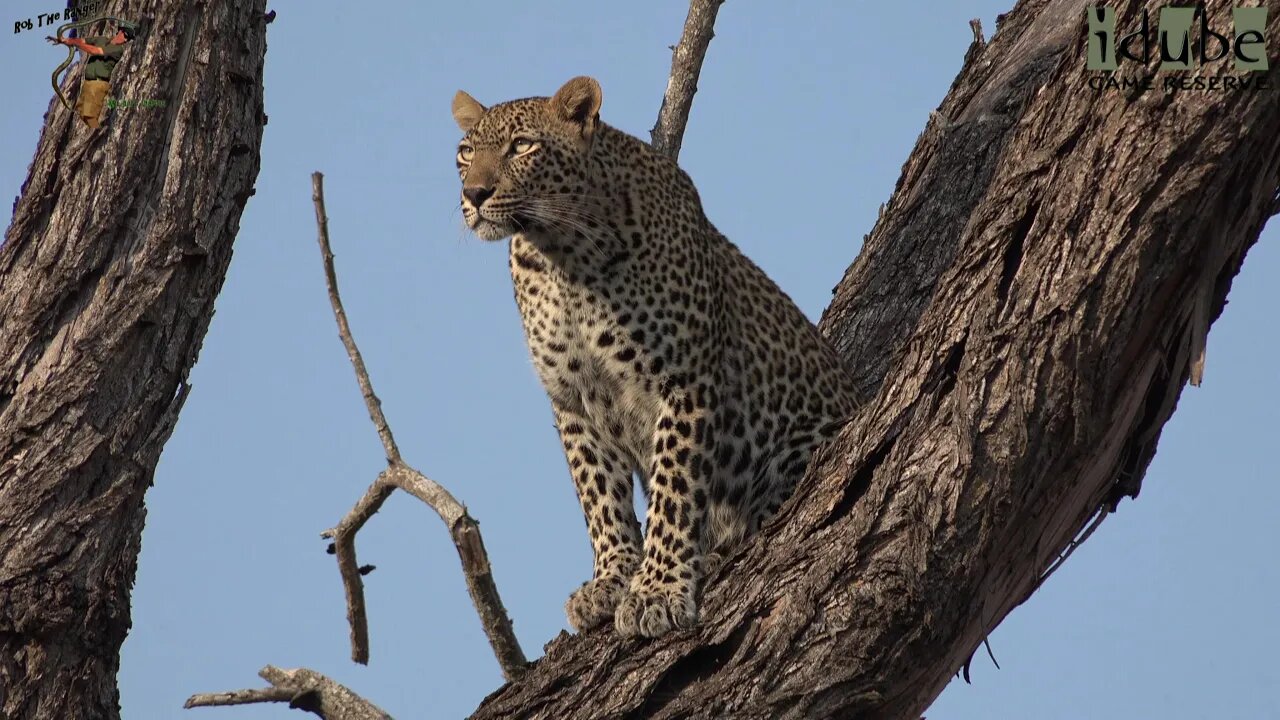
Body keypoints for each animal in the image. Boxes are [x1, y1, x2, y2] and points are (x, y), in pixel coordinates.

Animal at [450, 75, 860, 635]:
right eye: (466, 153)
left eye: (522, 146)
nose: (474, 194)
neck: (561, 257)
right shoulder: (572, 399)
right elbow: (597, 492)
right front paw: (612, 576)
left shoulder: (683, 379)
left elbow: (674, 485)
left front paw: (658, 588)